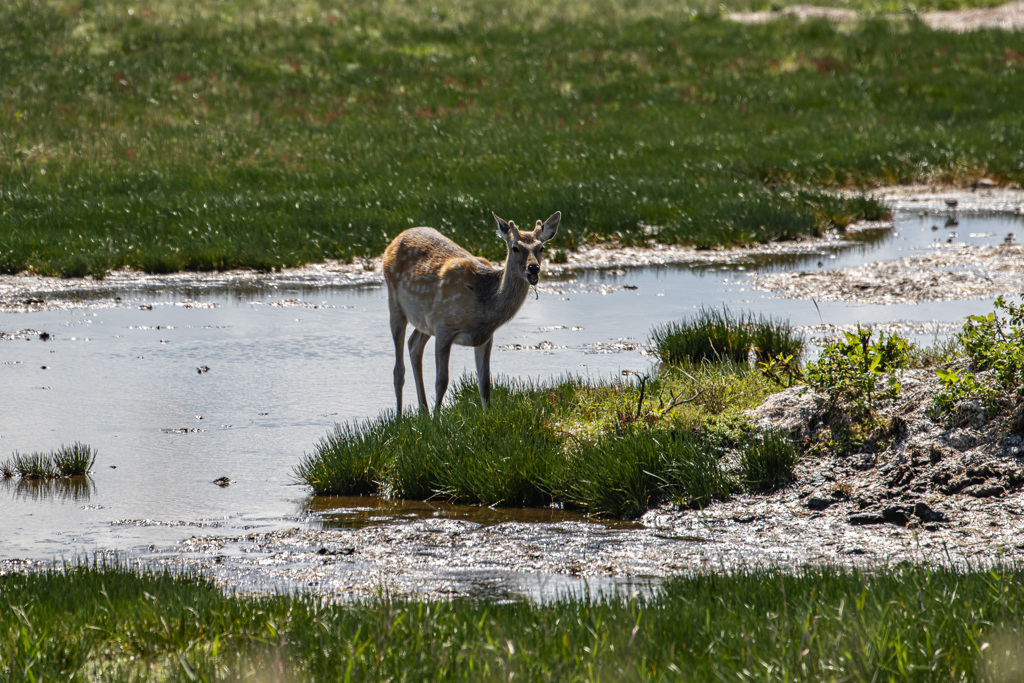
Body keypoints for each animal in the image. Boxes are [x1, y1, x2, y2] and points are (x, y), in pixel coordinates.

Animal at [382, 210, 561, 417]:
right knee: (398, 368)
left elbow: (485, 384)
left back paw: (423, 412)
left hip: (425, 321)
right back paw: (400, 417)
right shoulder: (444, 327)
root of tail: (393, 241)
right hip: (394, 301)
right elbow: (441, 381)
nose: (533, 268)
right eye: (515, 248)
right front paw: (437, 420)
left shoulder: (485, 337)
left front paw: (488, 416)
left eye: (541, 248)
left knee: (414, 346)